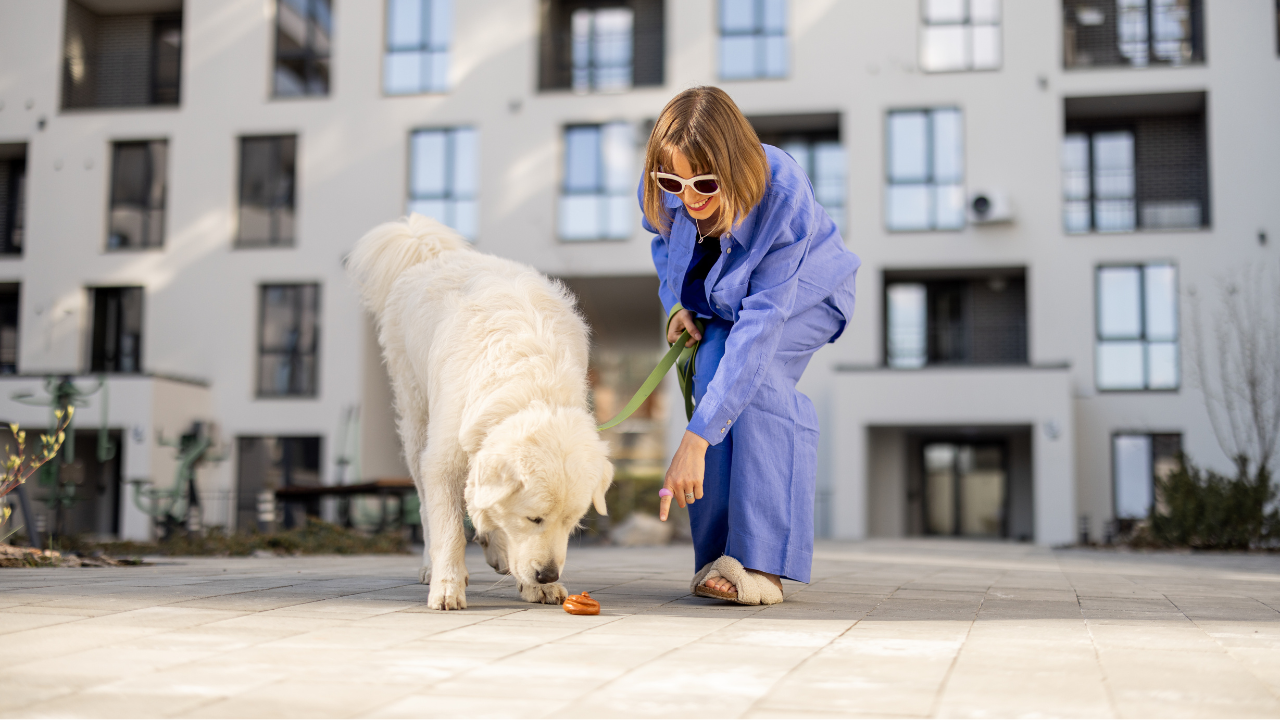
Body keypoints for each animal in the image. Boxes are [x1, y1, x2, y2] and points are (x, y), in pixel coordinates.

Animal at [348, 211, 611, 604]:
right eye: (534, 518)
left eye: (571, 522)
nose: (548, 574)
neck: (530, 387)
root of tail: (433, 252)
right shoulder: (442, 458)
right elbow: (448, 526)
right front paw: (447, 585)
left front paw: (535, 585)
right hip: (415, 417)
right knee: (426, 506)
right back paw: (433, 566)